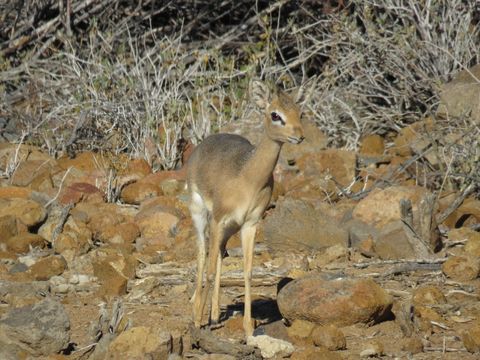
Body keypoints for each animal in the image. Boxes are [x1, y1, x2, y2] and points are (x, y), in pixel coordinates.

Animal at [187, 79, 304, 338]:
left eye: (299, 112)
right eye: (275, 114)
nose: (299, 136)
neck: (248, 178)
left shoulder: (250, 224)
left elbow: (248, 272)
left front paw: (249, 327)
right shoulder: (218, 219)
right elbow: (209, 270)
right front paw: (197, 321)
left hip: (229, 228)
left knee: (220, 253)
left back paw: (213, 315)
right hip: (201, 215)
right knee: (201, 253)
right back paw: (198, 312)